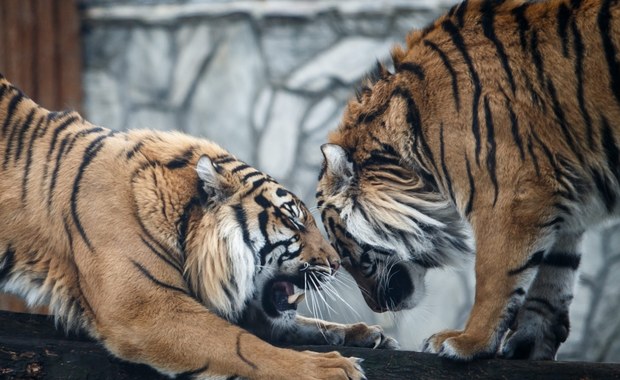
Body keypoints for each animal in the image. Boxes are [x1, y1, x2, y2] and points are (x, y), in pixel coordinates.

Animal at [0, 75, 398, 380]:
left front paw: (365, 333)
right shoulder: (147, 308)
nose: (336, 263)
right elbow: (244, 346)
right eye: (292, 219)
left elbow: (300, 322)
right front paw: (330, 369)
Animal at [314, 0, 620, 362]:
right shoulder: (565, 200)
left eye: (348, 256)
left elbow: (493, 275)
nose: (376, 308)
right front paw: (529, 346)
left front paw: (467, 341)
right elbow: (554, 275)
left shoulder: (511, 197)